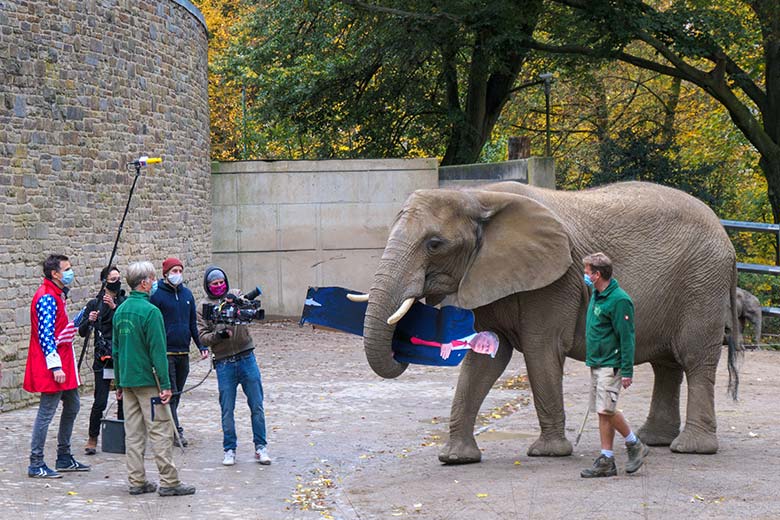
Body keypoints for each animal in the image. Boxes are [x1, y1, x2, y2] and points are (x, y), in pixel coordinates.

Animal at [360, 180, 736, 464]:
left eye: (435, 244)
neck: (478, 196)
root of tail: (725, 235)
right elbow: (485, 357)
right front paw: (455, 458)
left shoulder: (556, 283)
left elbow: (541, 351)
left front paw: (548, 453)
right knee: (666, 365)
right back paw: (654, 440)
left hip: (703, 285)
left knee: (694, 360)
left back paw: (691, 448)